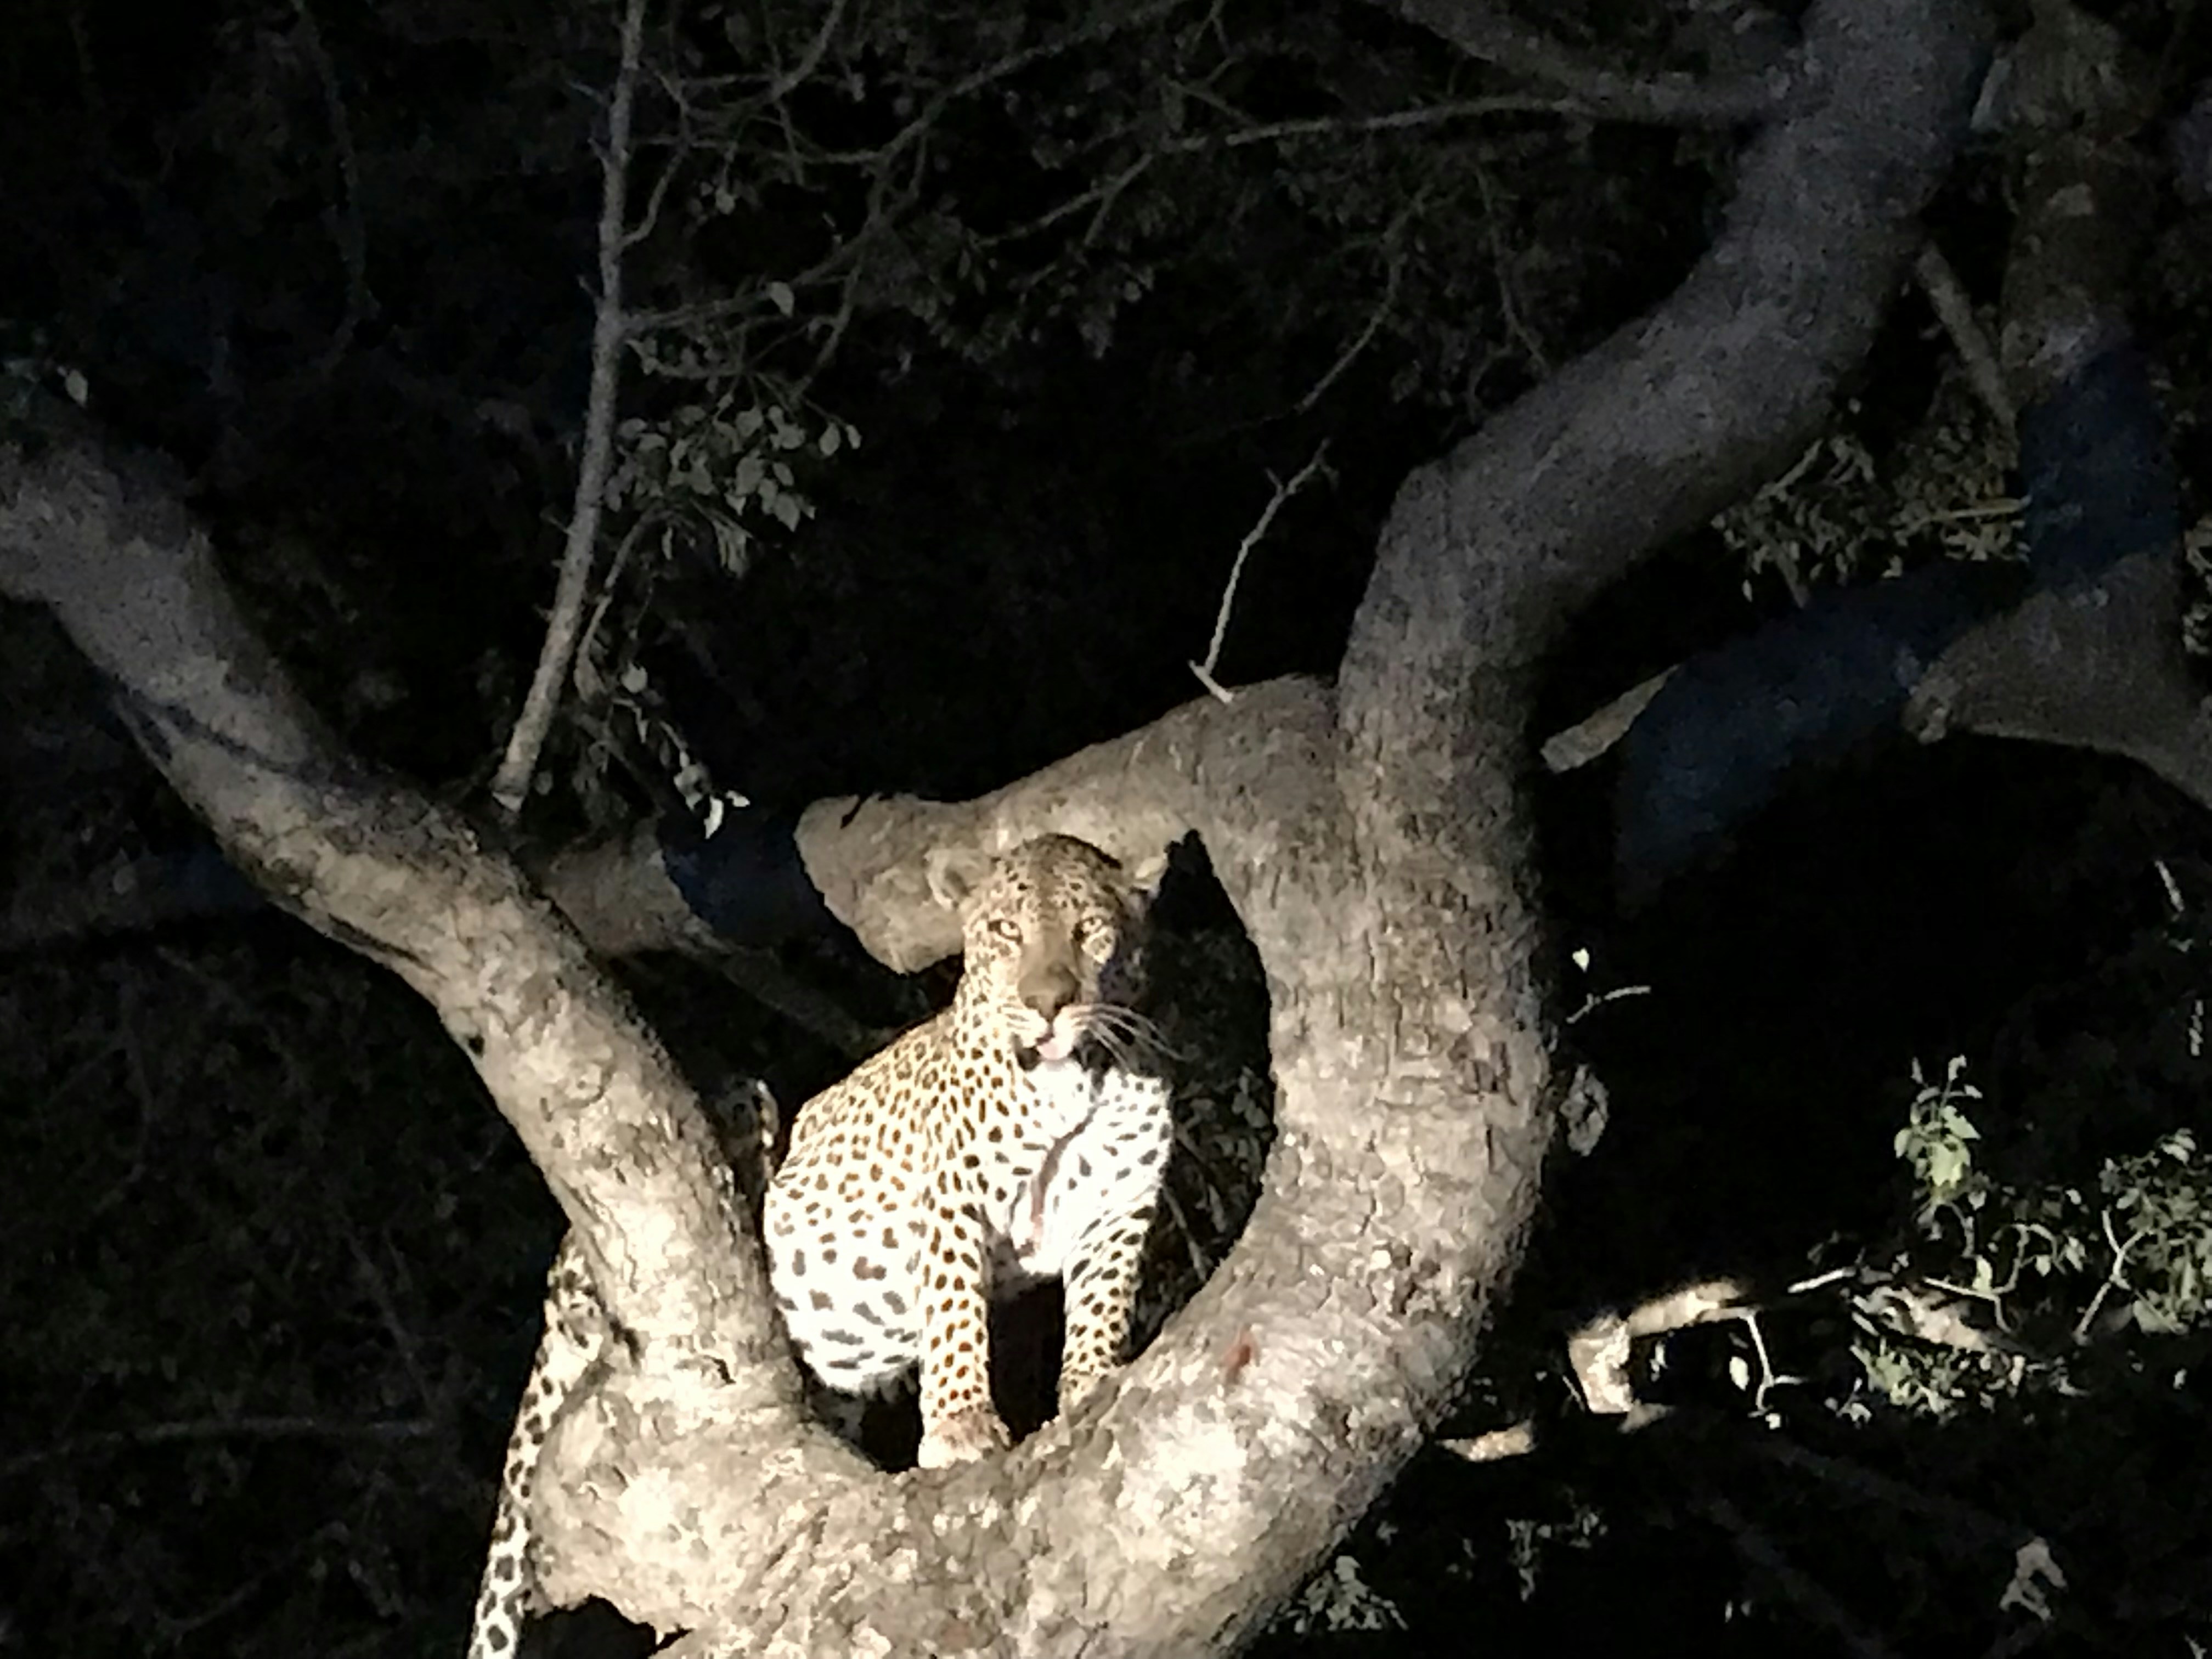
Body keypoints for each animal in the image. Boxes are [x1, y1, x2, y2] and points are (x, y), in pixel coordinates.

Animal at [466, 833, 1170, 1659]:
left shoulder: (1123, 1204)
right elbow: (956, 1316)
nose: (1048, 1003)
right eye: (1007, 933)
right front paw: (961, 1427)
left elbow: (1103, 1303)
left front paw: (1092, 1380)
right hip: (746, 1099)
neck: (1076, 1080)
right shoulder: (952, 1197)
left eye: (1090, 932)